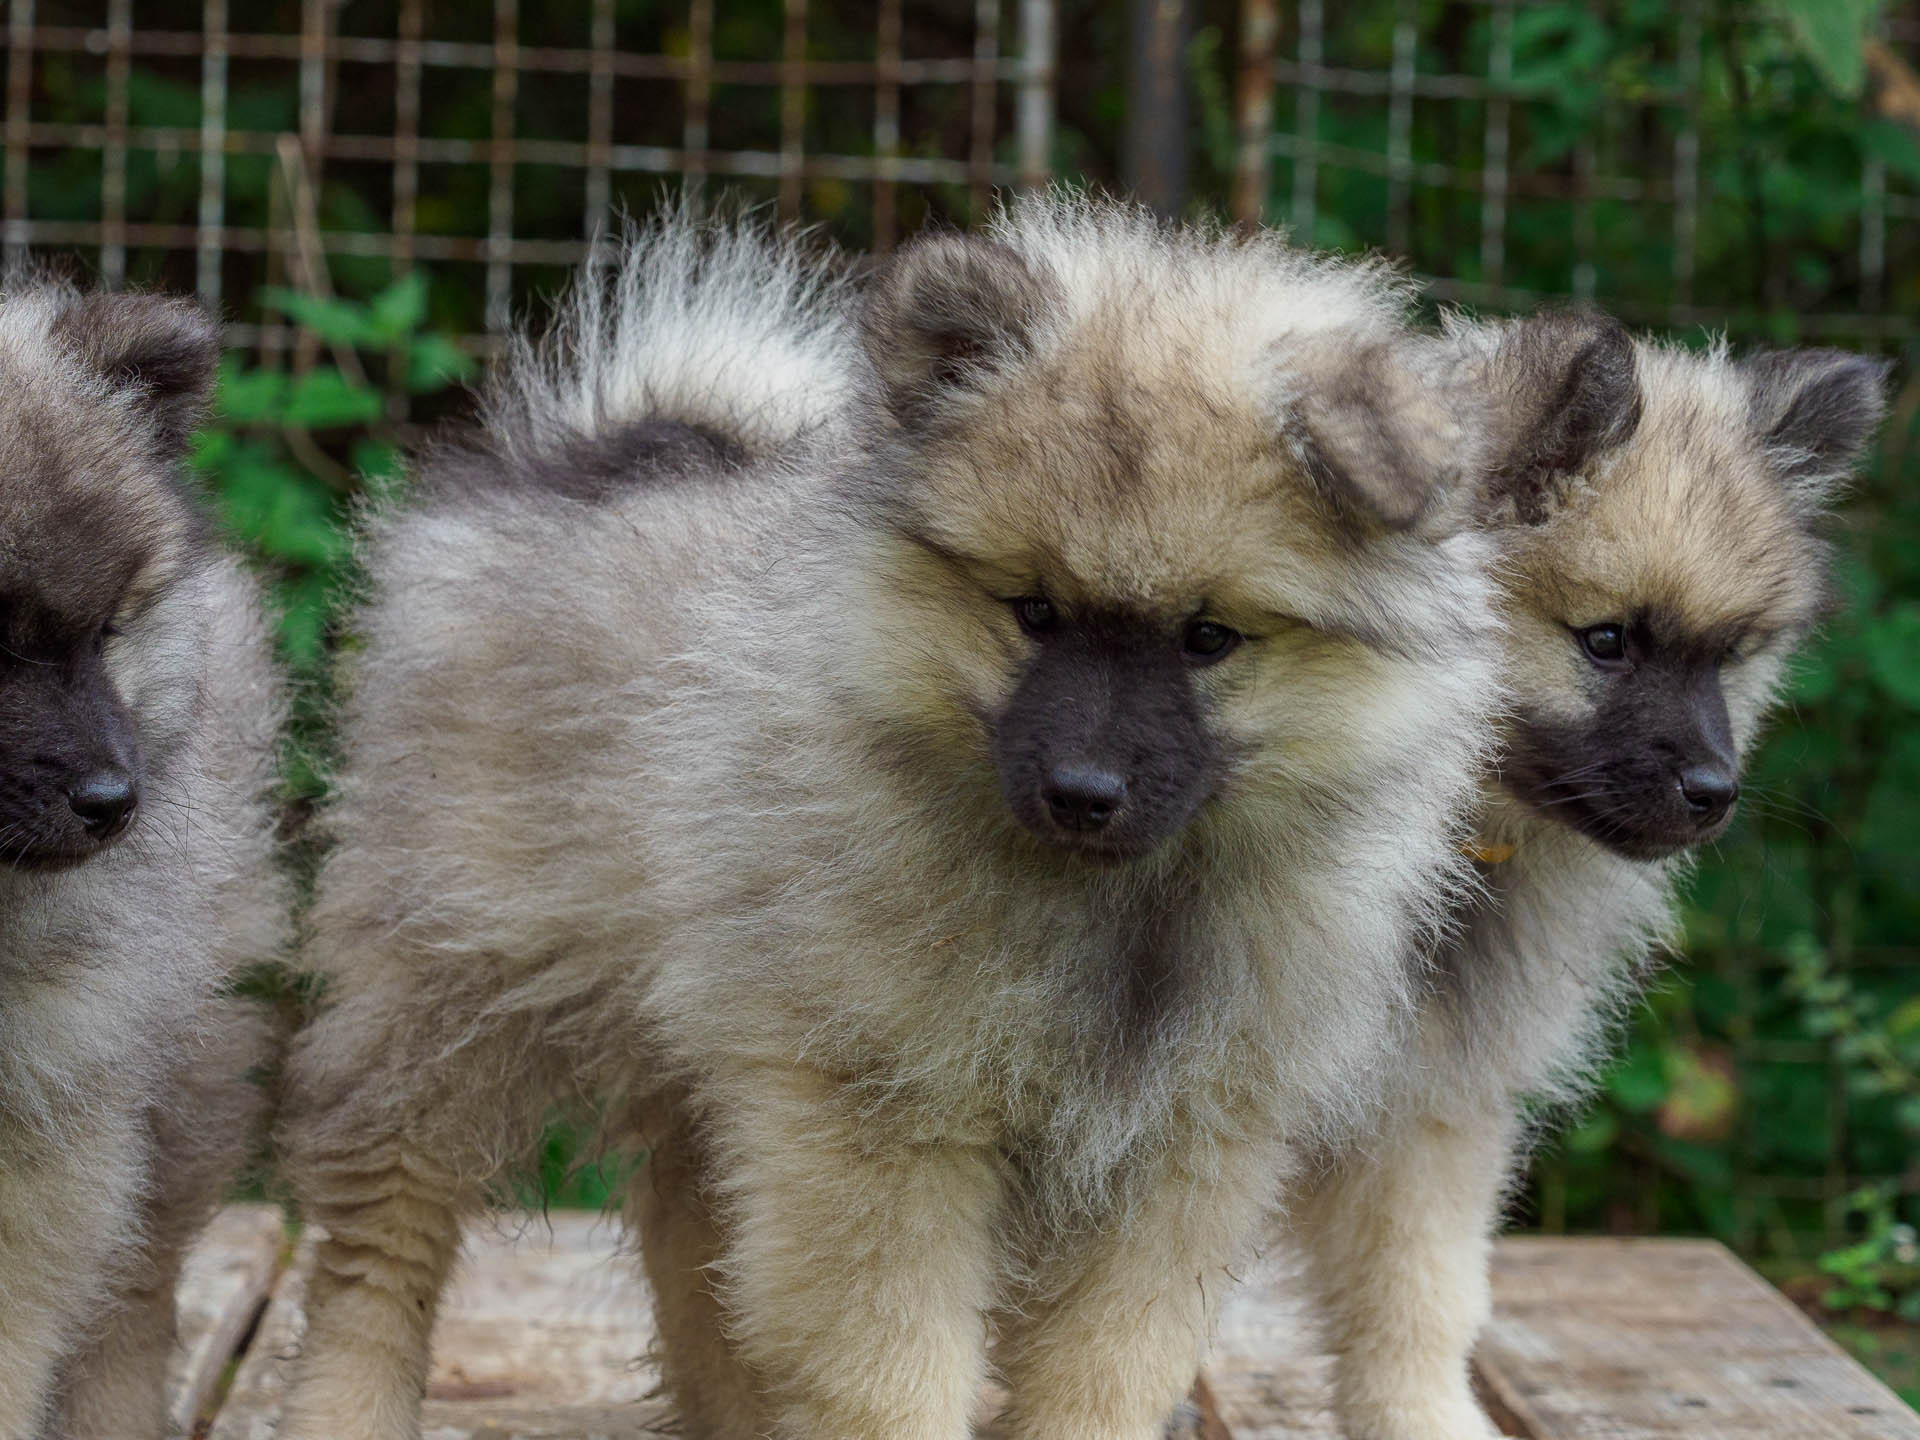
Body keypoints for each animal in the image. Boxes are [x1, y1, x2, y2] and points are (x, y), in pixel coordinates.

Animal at [270, 194, 1605, 1440]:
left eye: (1208, 638)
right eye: (1034, 612)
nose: (1083, 792)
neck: (1122, 910)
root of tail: (608, 446)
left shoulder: (1178, 1151)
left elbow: (1104, 1373)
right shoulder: (882, 1120)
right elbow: (893, 1367)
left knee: (691, 1247)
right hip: (451, 984)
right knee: (382, 1236)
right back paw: (348, 1399)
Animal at [1290, 318, 1889, 1440]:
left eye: (1728, 657)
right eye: (1607, 641)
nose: (1713, 792)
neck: (1460, 841)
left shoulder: (1428, 1104)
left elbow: (1419, 1299)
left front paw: (1424, 1419)